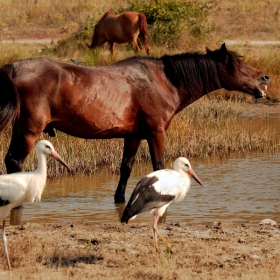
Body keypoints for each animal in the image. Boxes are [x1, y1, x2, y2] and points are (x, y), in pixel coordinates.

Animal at [0, 43, 270, 203]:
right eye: (238, 64)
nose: (265, 77)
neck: (164, 80)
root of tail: (12, 67)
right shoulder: (156, 133)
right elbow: (159, 166)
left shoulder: (133, 135)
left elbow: (125, 169)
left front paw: (120, 199)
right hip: (28, 129)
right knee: (14, 162)